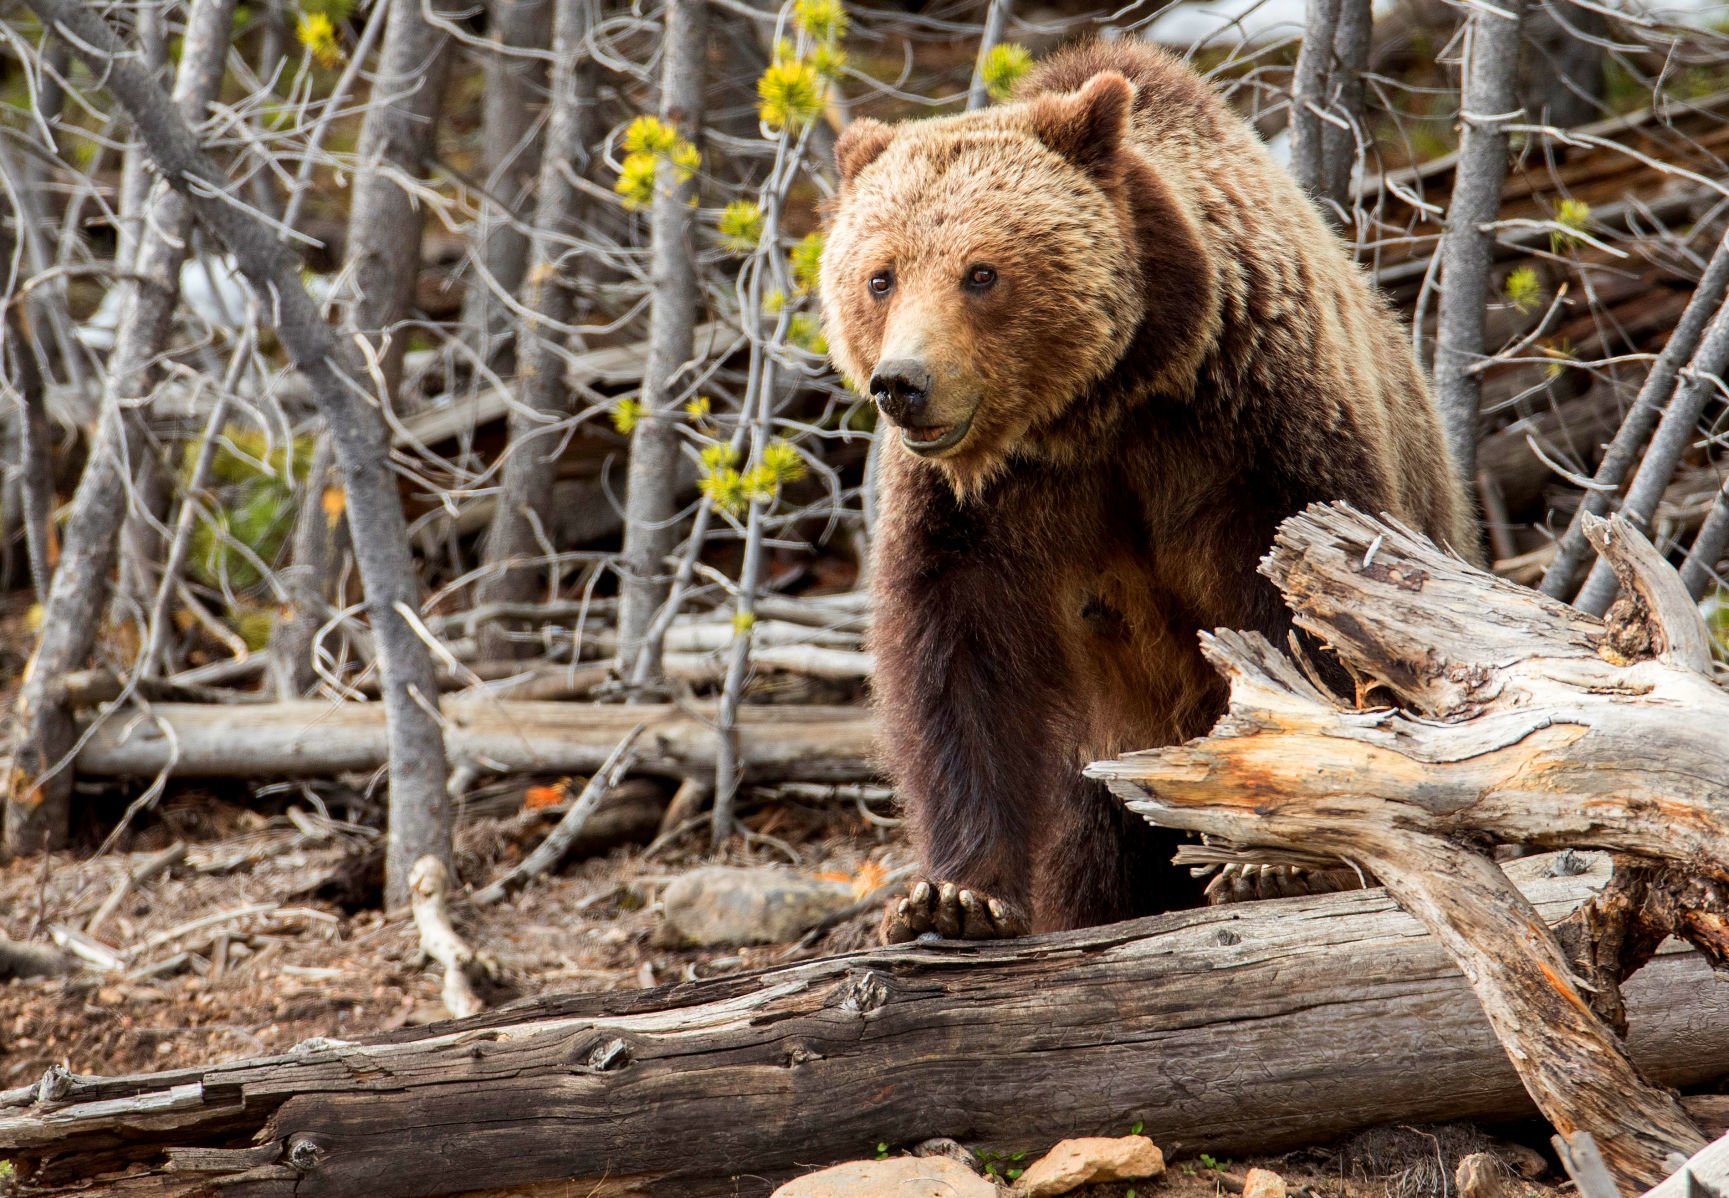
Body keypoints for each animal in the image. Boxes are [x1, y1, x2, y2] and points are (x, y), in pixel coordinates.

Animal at [816, 39, 1480, 947]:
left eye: (980, 272)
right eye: (880, 276)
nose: (902, 384)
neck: (1097, 406)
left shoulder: (1249, 430)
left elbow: (1306, 619)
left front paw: (1277, 861)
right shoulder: (977, 505)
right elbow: (958, 660)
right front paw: (954, 897)